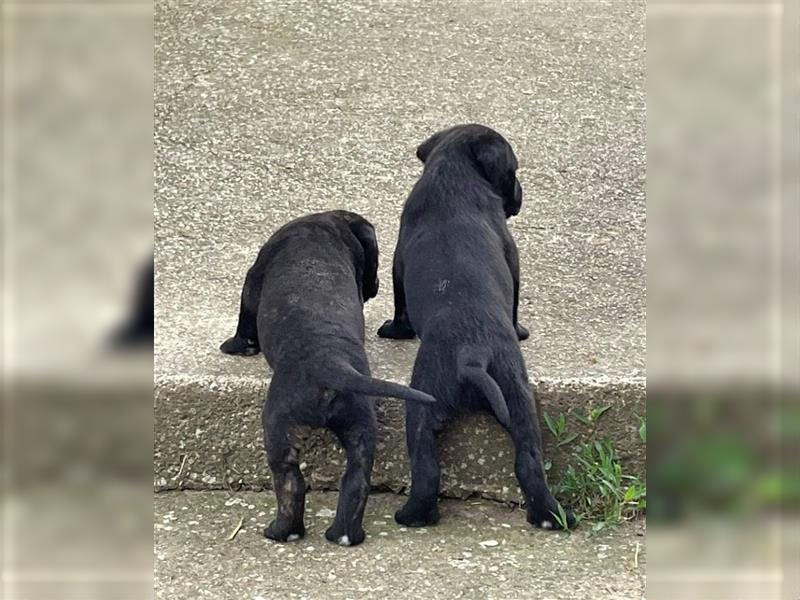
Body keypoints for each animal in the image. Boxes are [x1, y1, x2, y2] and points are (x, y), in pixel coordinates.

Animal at [219, 212, 434, 548]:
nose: (374, 286)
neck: (325, 228)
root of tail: (330, 365)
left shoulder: (253, 280)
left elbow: (245, 319)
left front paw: (235, 346)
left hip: (278, 428)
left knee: (291, 482)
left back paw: (282, 531)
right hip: (360, 427)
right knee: (356, 480)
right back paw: (345, 534)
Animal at [376, 125, 576, 528]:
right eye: (513, 171)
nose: (520, 195)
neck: (454, 172)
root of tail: (473, 354)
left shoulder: (398, 261)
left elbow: (400, 306)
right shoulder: (512, 257)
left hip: (431, 399)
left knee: (427, 466)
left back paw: (412, 515)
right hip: (515, 399)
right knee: (527, 463)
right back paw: (549, 516)